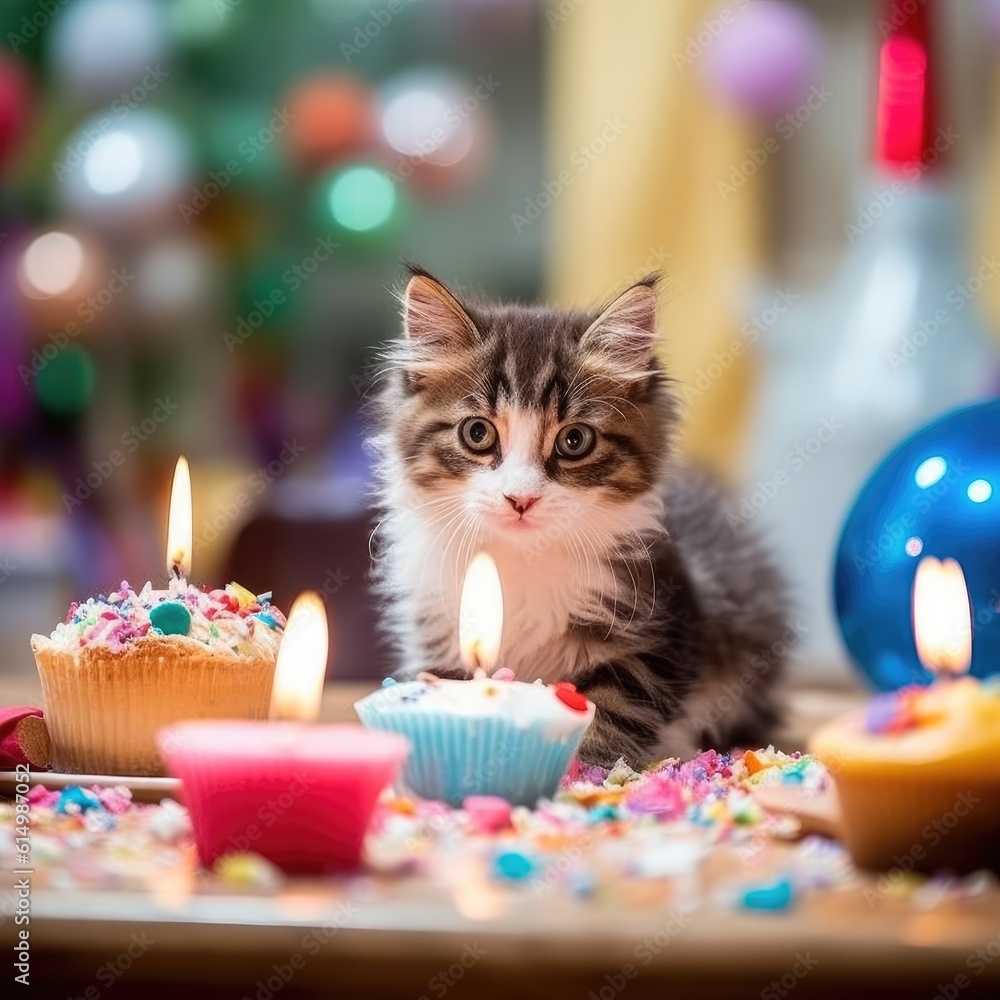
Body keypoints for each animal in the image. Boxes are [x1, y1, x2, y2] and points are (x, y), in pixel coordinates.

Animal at [368, 266, 788, 764]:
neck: (520, 560)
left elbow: (608, 709)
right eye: (477, 433)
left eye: (574, 441)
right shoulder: (440, 625)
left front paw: (585, 768)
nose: (520, 498)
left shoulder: (660, 620)